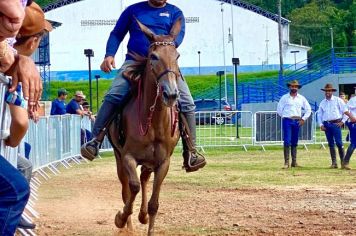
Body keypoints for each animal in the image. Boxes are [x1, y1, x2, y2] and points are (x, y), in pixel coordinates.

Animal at [107, 18, 181, 234]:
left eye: (177, 56)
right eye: (153, 56)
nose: (171, 94)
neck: (154, 123)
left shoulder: (163, 163)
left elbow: (154, 204)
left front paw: (147, 218)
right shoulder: (128, 157)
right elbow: (132, 188)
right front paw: (121, 219)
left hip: (149, 162)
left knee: (144, 179)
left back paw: (142, 215)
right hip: (119, 158)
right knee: (127, 187)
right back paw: (128, 225)